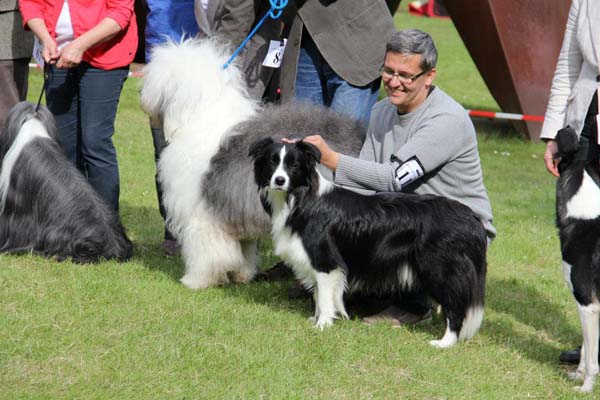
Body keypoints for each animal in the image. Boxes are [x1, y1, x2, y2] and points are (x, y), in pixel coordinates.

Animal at [139, 38, 366, 290]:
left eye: (154, 77)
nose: (140, 94)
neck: (201, 116)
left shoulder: (201, 215)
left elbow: (206, 252)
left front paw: (196, 280)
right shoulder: (237, 210)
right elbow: (244, 249)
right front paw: (242, 275)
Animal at [248, 137, 488, 346]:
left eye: (294, 166)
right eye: (272, 163)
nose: (279, 181)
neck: (300, 198)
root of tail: (470, 217)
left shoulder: (326, 260)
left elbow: (323, 296)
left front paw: (323, 325)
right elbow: (318, 293)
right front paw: (316, 319)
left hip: (439, 268)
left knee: (455, 306)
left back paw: (445, 342)